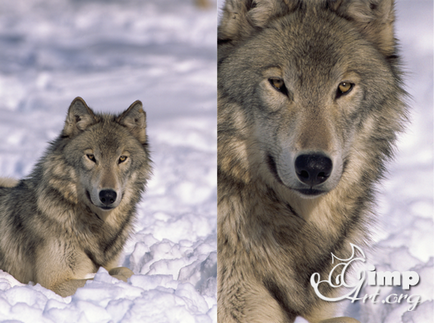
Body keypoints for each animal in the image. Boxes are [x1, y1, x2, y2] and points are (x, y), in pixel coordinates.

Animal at [0, 97, 153, 298]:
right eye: (91, 157)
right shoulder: (53, 283)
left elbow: (122, 270)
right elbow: (122, 276)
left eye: (122, 159)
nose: (108, 195)